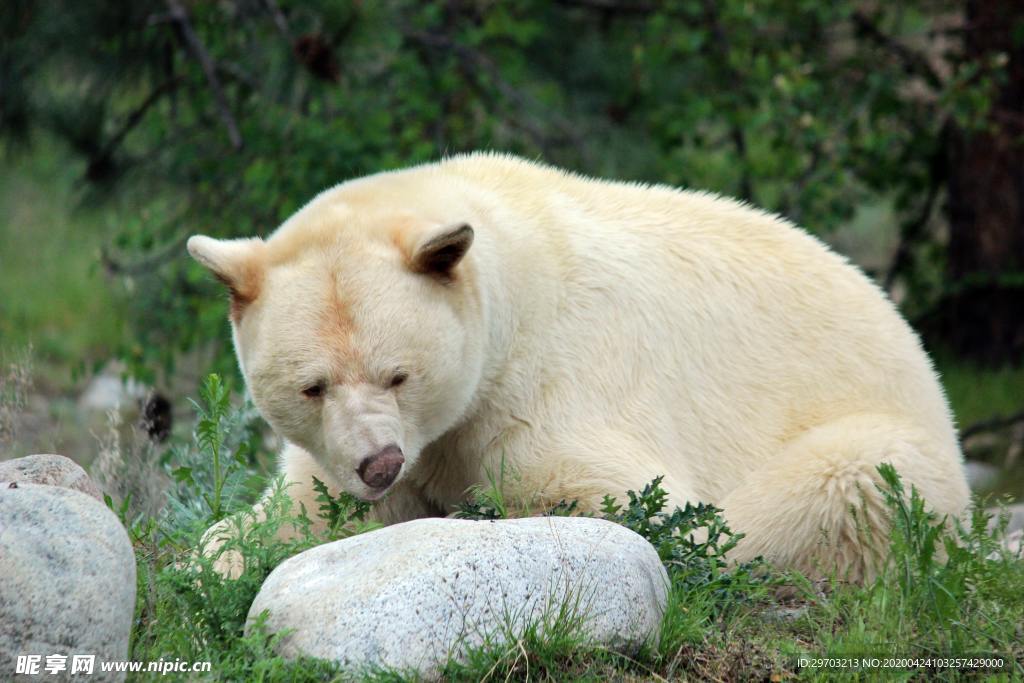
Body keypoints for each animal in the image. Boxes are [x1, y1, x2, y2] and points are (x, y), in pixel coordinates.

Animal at [190, 154, 966, 581]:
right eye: (312, 385)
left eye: (398, 373)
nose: (379, 464)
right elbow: (297, 506)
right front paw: (217, 557)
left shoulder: (558, 383)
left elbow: (628, 502)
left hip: (886, 446)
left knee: (848, 480)